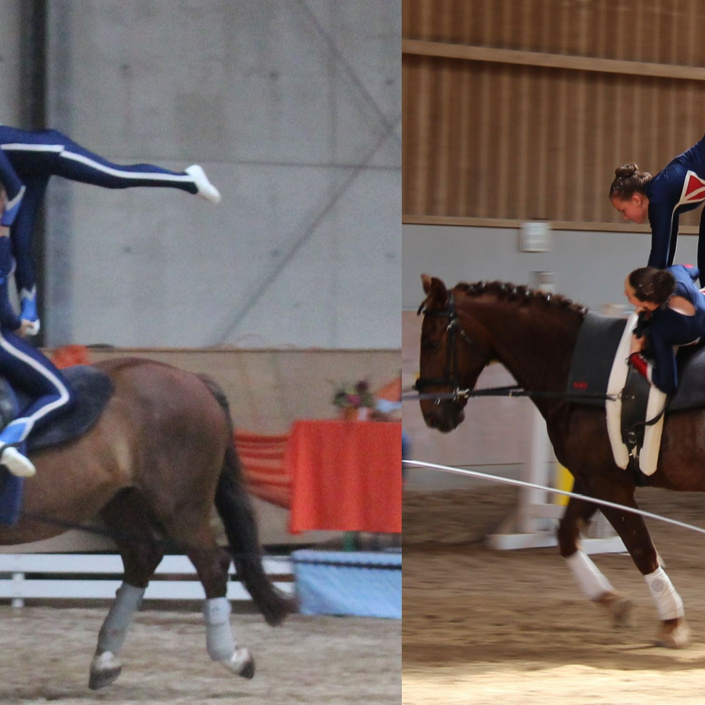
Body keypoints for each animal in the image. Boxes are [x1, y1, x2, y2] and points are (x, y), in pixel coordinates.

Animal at [0, 357, 296, 688]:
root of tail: (193, 378)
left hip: (180, 508)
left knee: (212, 565)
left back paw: (233, 657)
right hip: (122, 501)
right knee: (143, 557)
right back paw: (105, 660)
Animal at [415, 273, 705, 649]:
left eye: (432, 342)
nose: (432, 414)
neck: (573, 368)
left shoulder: (609, 484)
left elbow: (642, 549)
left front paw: (672, 623)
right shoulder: (590, 479)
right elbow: (566, 536)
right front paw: (612, 601)